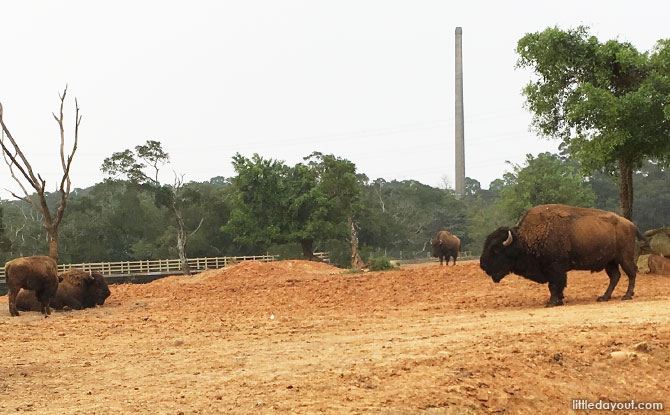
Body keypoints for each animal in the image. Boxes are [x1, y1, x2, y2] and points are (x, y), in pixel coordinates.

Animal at [480, 203, 648, 308]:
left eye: (496, 250)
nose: (483, 265)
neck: (525, 239)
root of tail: (630, 224)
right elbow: (555, 286)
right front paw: (559, 300)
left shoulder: (555, 268)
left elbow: (555, 285)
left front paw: (552, 302)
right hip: (610, 261)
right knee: (615, 276)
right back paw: (603, 297)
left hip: (624, 257)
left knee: (631, 273)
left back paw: (627, 295)